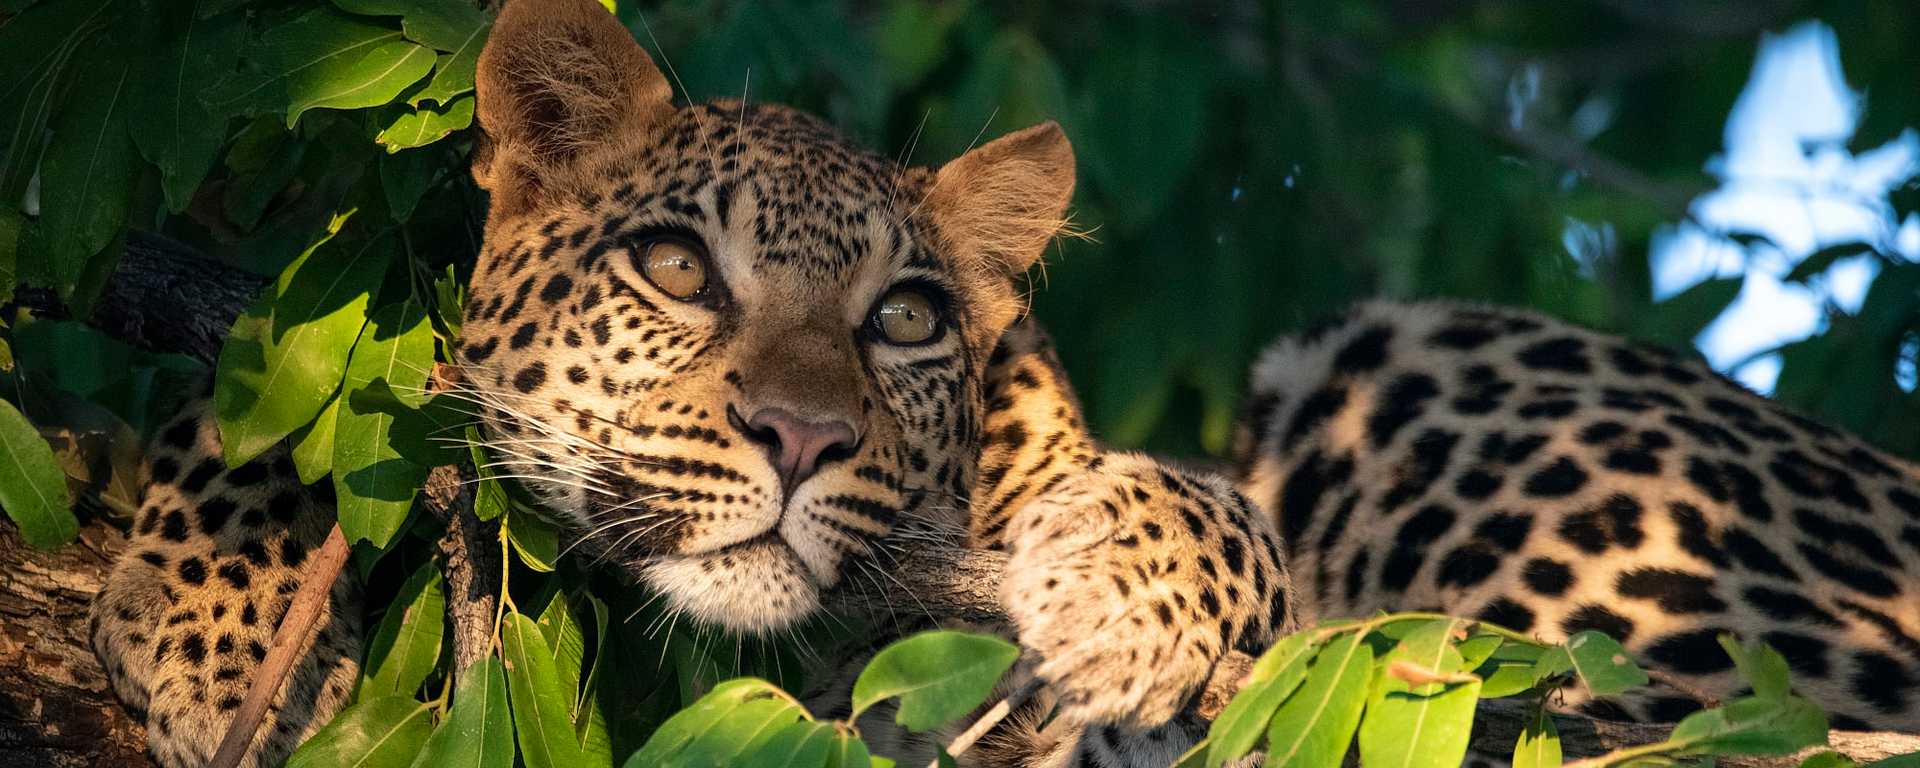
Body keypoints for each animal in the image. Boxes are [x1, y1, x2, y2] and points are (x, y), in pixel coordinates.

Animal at [86, 0, 1920, 760]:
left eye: (904, 319)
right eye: (677, 269)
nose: (802, 435)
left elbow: (1209, 518)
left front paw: (1120, 607)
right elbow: (287, 402)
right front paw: (216, 619)